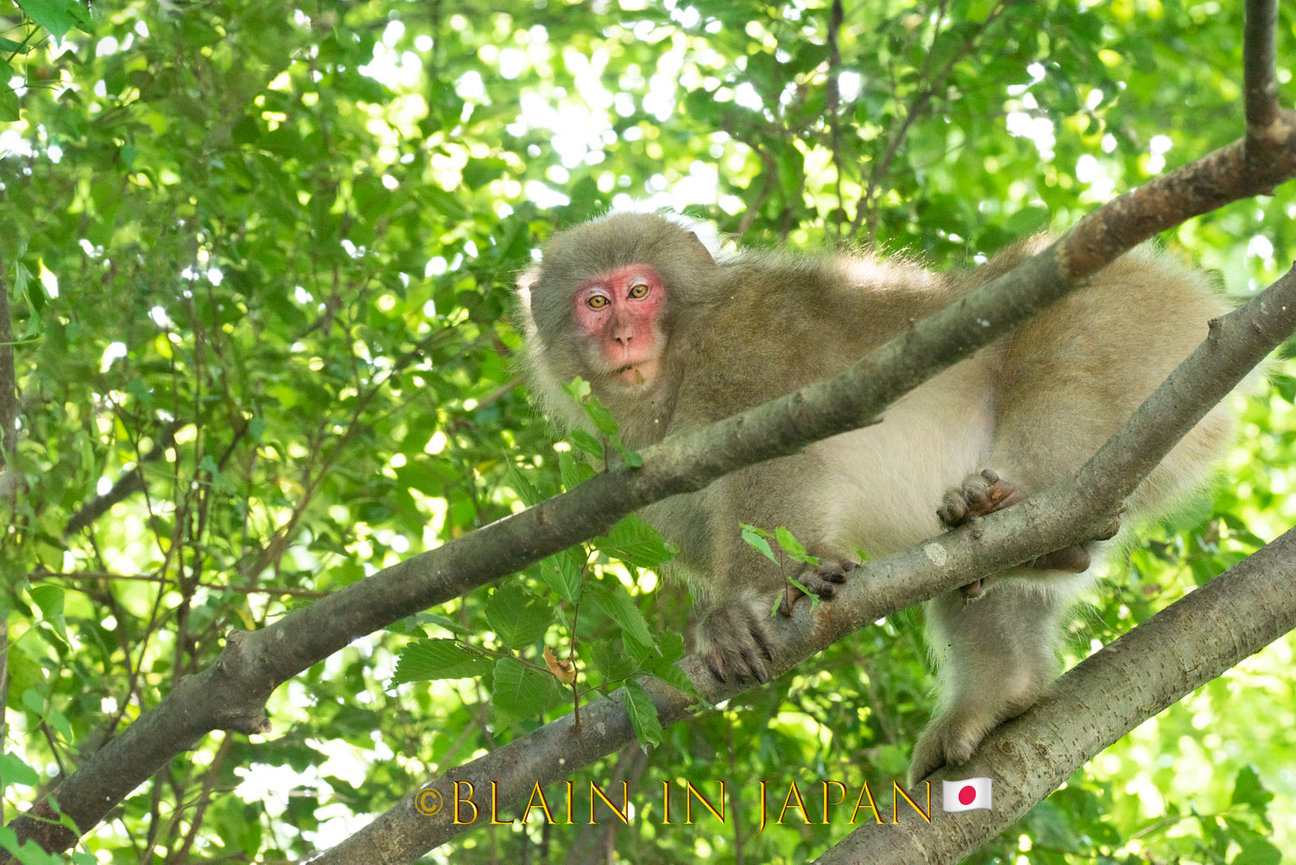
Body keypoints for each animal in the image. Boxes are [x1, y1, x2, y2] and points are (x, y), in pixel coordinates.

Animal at [515, 210, 1233, 783]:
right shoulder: (630, 469)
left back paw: (1031, 518)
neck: (679, 363)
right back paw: (1006, 678)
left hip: (1126, 318)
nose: (622, 336)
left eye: (639, 291)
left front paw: (749, 601)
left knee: (1063, 369)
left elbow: (781, 462)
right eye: (596, 302)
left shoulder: (744, 349)